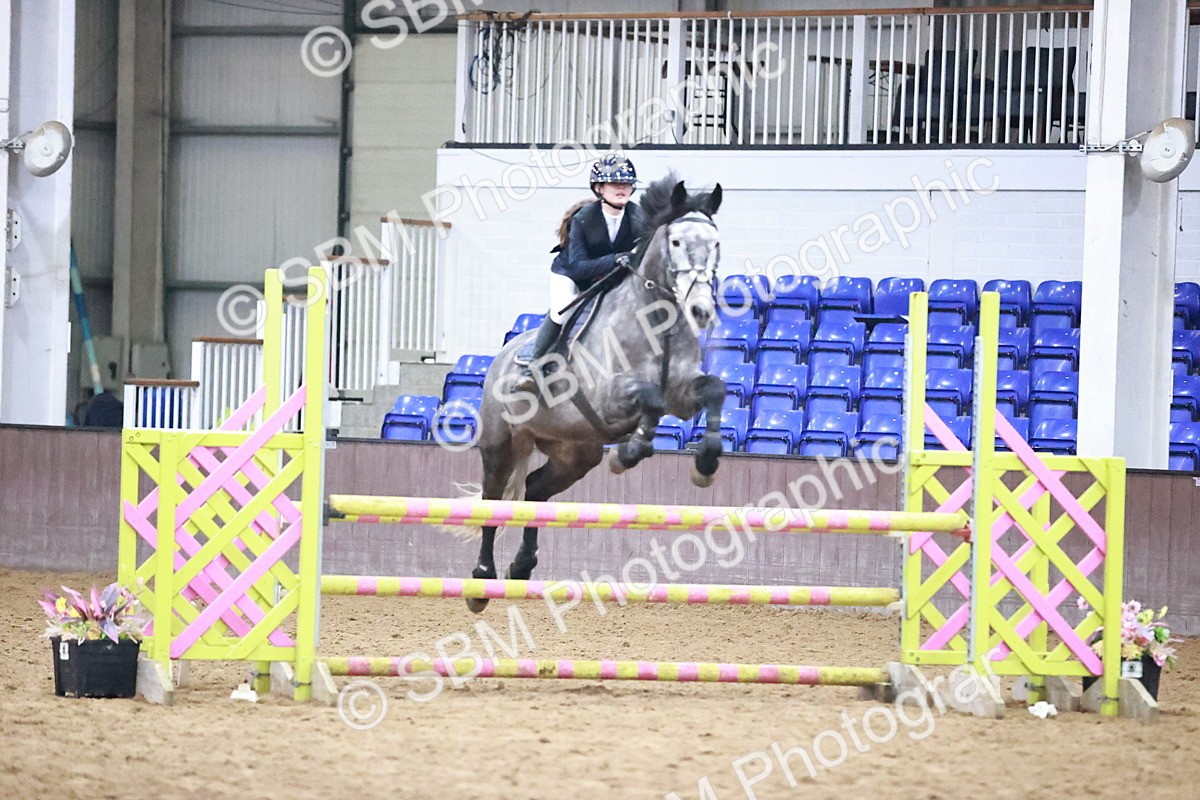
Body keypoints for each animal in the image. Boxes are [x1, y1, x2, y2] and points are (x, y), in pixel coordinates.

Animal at [465, 175, 727, 612]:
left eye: (716, 243)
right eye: (675, 242)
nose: (702, 310)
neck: (656, 320)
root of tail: (498, 358)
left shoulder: (683, 393)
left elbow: (715, 391)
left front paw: (705, 465)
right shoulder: (609, 399)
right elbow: (650, 400)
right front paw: (628, 454)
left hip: (576, 454)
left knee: (534, 489)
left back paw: (522, 566)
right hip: (501, 444)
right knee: (494, 499)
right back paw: (481, 580)